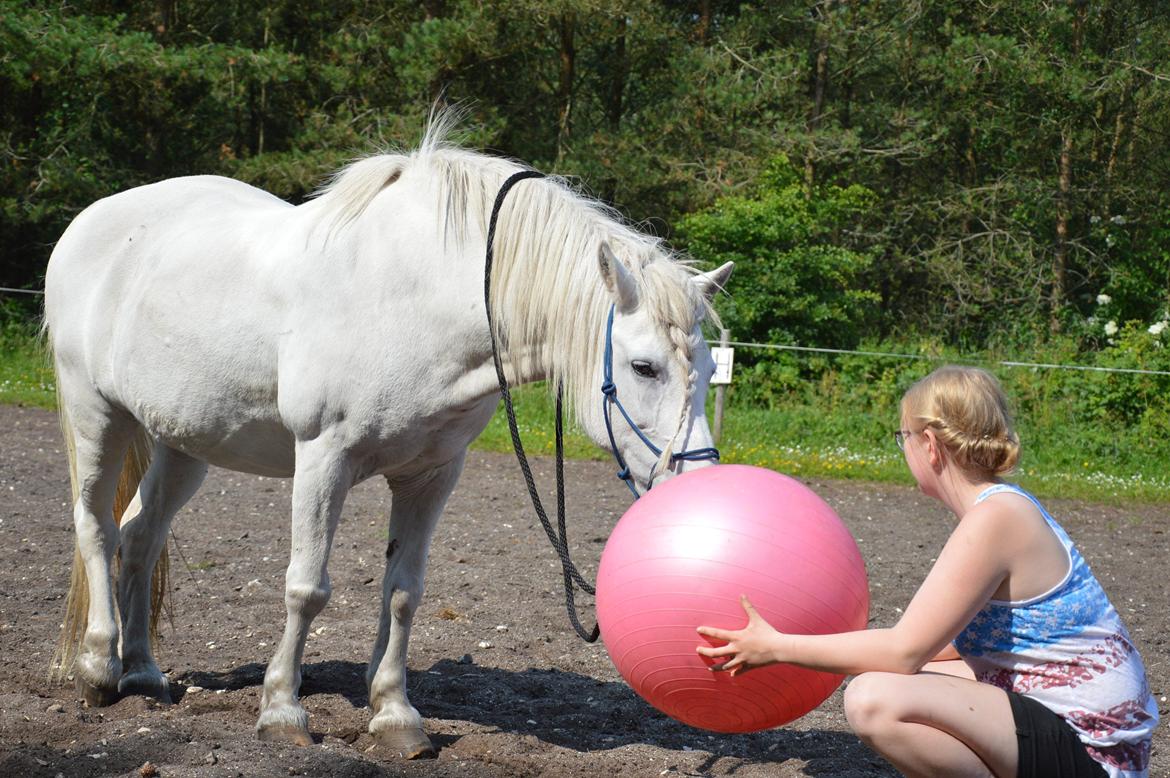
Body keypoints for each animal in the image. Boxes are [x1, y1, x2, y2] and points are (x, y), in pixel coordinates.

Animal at [45, 118, 730, 753]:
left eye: (706, 369)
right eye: (644, 367)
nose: (698, 485)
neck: (418, 298)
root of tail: (89, 223)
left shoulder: (432, 474)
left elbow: (404, 592)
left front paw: (395, 715)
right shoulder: (324, 458)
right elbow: (306, 588)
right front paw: (282, 711)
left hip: (185, 441)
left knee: (140, 534)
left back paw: (143, 674)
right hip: (96, 414)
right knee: (96, 527)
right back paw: (98, 667)